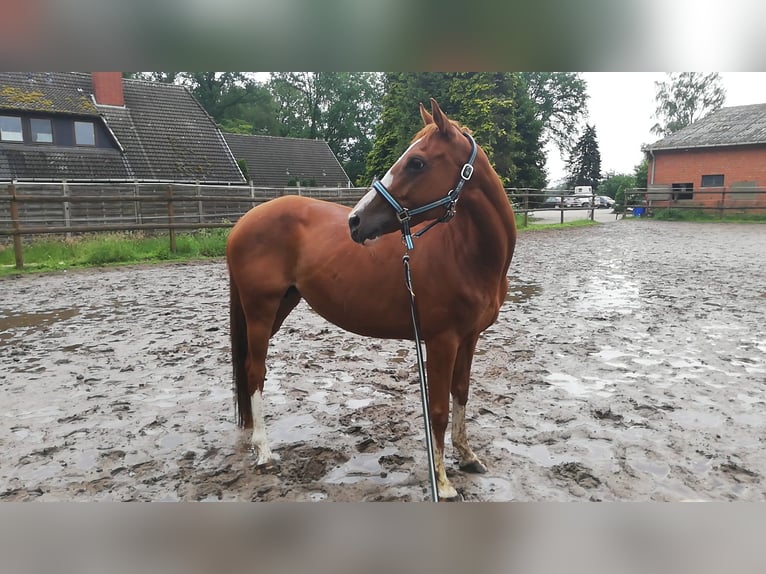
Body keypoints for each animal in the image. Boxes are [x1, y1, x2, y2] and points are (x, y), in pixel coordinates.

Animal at [225, 99, 520, 500]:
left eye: (417, 162)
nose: (355, 221)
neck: (466, 252)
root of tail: (243, 221)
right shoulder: (441, 342)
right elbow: (438, 409)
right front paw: (443, 483)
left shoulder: (469, 339)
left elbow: (461, 394)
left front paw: (468, 456)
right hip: (260, 310)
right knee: (255, 371)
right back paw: (265, 451)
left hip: (280, 307)